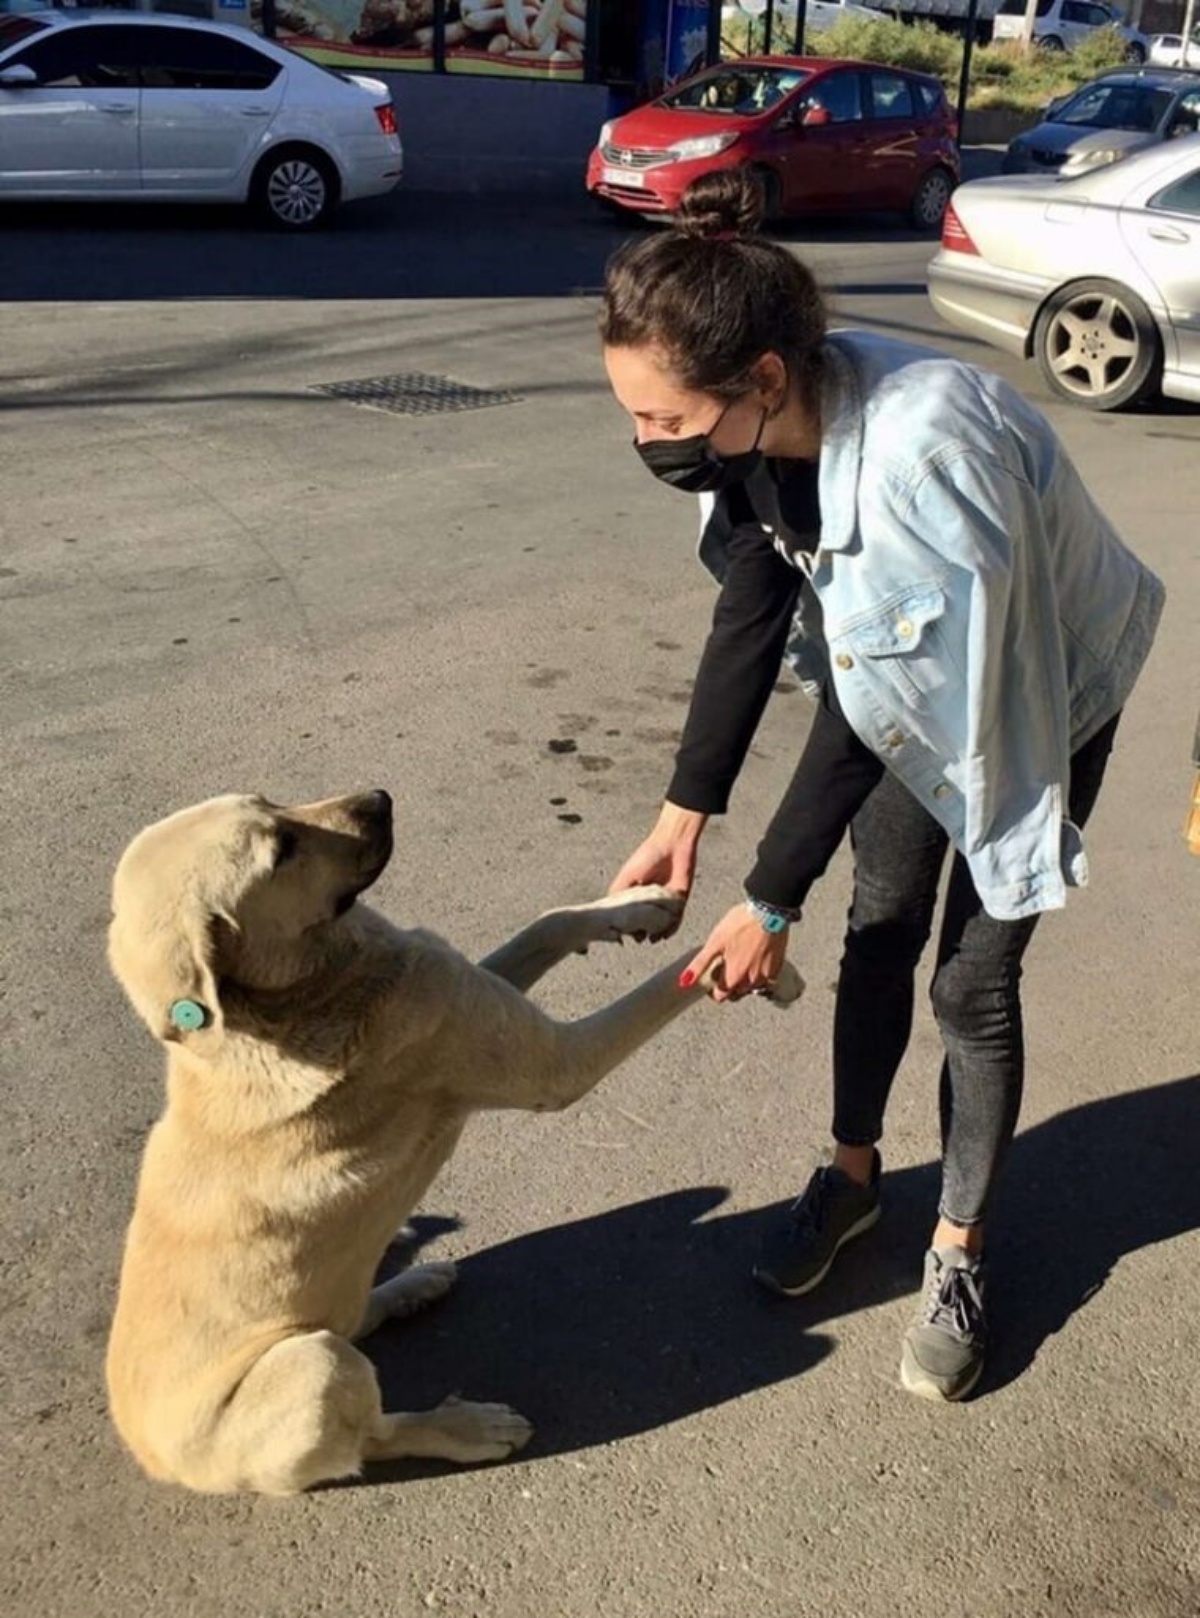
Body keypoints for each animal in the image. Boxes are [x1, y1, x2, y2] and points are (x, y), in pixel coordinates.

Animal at [103, 789, 798, 1495]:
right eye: (280, 850)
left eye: (268, 799)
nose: (380, 799)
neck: (290, 1000)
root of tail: (152, 1458)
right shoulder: (559, 1061)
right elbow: (670, 980)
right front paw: (751, 957)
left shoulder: (469, 982)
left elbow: (548, 922)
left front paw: (637, 903)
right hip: (313, 1366)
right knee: (371, 1434)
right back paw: (465, 1427)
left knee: (355, 1318)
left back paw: (411, 1285)